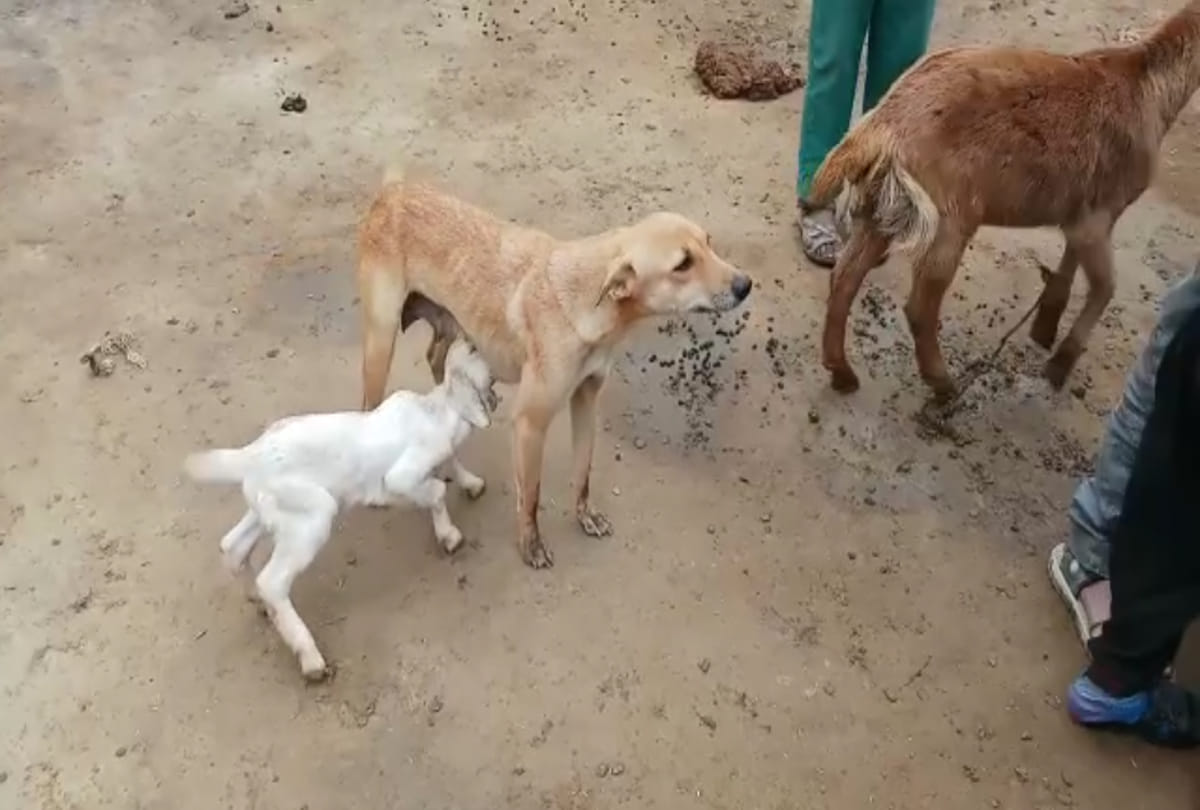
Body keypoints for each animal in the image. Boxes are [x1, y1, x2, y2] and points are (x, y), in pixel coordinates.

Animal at [807, 1, 1200, 398]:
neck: (1149, 87)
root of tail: (883, 124)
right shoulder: (1098, 214)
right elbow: (1106, 287)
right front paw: (1059, 364)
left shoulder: (1080, 208)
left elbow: (1071, 261)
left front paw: (1045, 326)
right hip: (950, 214)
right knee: (919, 306)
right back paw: (943, 383)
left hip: (885, 207)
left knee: (845, 276)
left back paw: (843, 373)